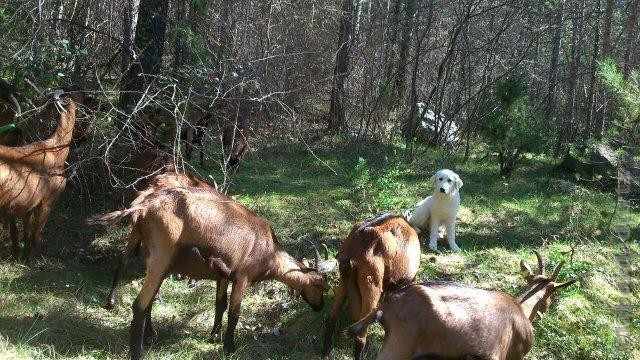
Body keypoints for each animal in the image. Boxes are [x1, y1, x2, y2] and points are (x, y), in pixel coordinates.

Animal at [0, 93, 76, 264]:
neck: (56, 151)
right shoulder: (47, 202)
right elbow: (36, 236)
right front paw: (28, 262)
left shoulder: (28, 205)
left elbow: (26, 234)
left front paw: (19, 258)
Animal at [88, 187, 338, 358]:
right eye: (320, 286)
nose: (319, 306)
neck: (269, 251)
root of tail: (143, 207)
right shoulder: (242, 277)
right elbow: (235, 312)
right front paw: (229, 346)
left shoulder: (223, 276)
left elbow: (220, 304)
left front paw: (213, 336)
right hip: (161, 259)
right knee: (139, 304)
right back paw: (138, 350)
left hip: (152, 258)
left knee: (147, 300)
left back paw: (151, 337)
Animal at [322, 212, 422, 358]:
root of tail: (351, 251)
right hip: (371, 285)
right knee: (360, 337)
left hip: (344, 282)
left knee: (331, 319)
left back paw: (326, 351)